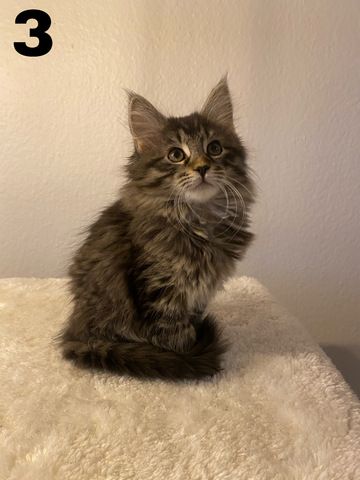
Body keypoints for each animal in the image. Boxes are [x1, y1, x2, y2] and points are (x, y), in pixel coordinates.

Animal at [59, 78, 255, 378]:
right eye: (176, 155)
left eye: (214, 148)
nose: (202, 168)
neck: (198, 220)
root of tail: (77, 329)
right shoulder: (160, 289)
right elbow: (175, 336)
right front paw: (186, 358)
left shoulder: (196, 294)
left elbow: (192, 321)